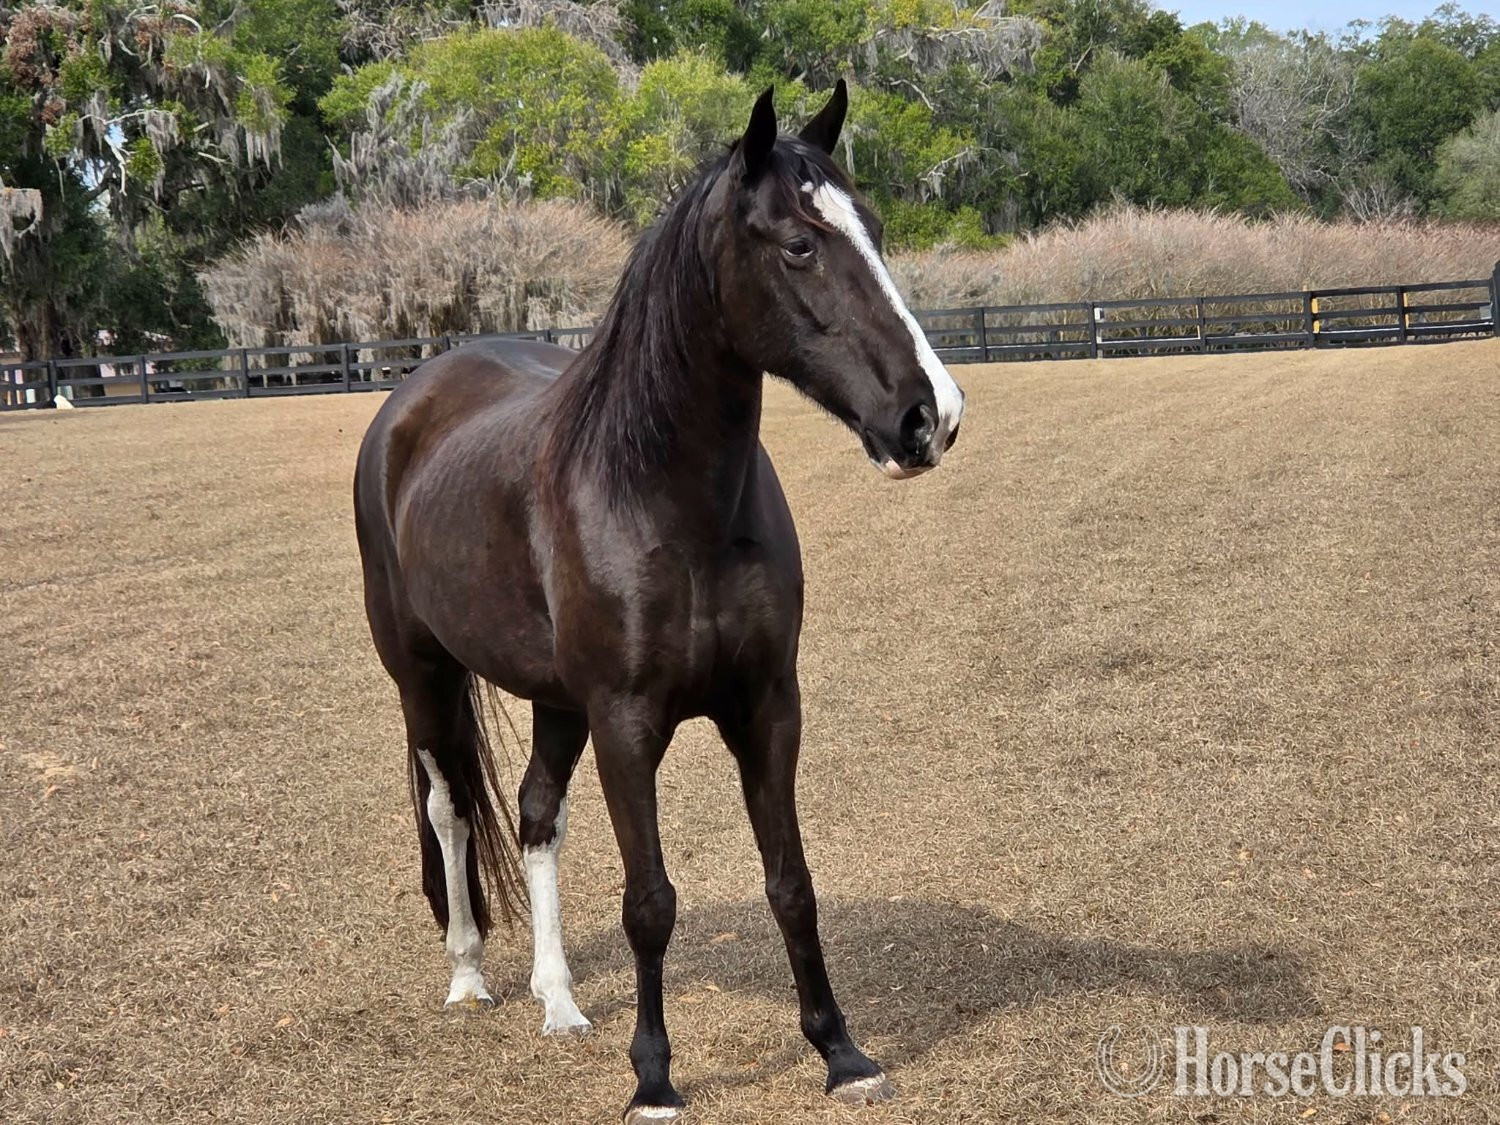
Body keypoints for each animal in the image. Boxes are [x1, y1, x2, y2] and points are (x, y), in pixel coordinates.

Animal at [353, 82, 964, 1121]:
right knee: (449, 808)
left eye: (875, 230)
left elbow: (791, 881)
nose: (931, 418)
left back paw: (558, 999)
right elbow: (650, 901)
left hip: (555, 701)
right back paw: (469, 975)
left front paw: (841, 1050)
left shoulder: (766, 707)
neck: (662, 496)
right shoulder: (627, 723)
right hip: (424, 677)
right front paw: (654, 1078)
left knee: (534, 814)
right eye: (799, 245)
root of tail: (415, 391)